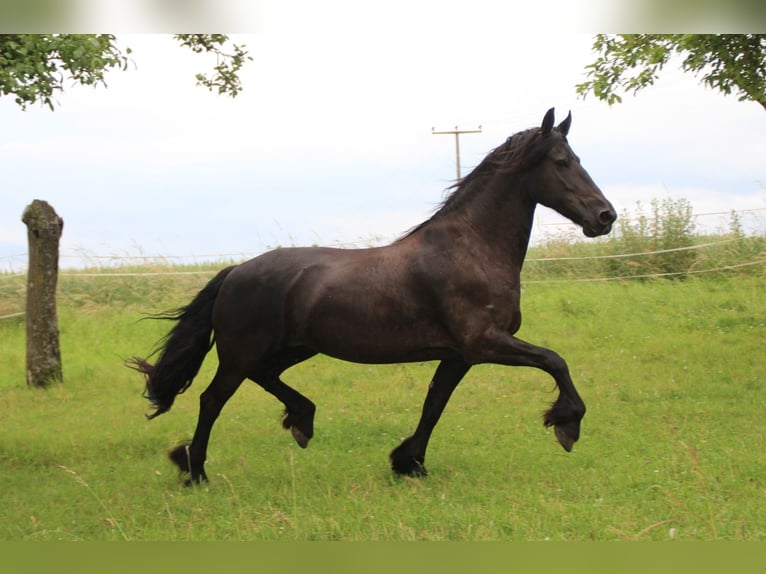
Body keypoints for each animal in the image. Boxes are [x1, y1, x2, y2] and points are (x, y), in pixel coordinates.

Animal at [130, 109, 616, 486]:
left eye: (576, 159)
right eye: (561, 162)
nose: (604, 216)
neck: (471, 248)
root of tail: (235, 272)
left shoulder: (458, 355)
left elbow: (434, 405)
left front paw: (409, 463)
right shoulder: (485, 342)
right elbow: (555, 360)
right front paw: (567, 424)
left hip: (295, 348)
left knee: (265, 377)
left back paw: (300, 421)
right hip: (240, 353)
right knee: (212, 400)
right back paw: (195, 471)